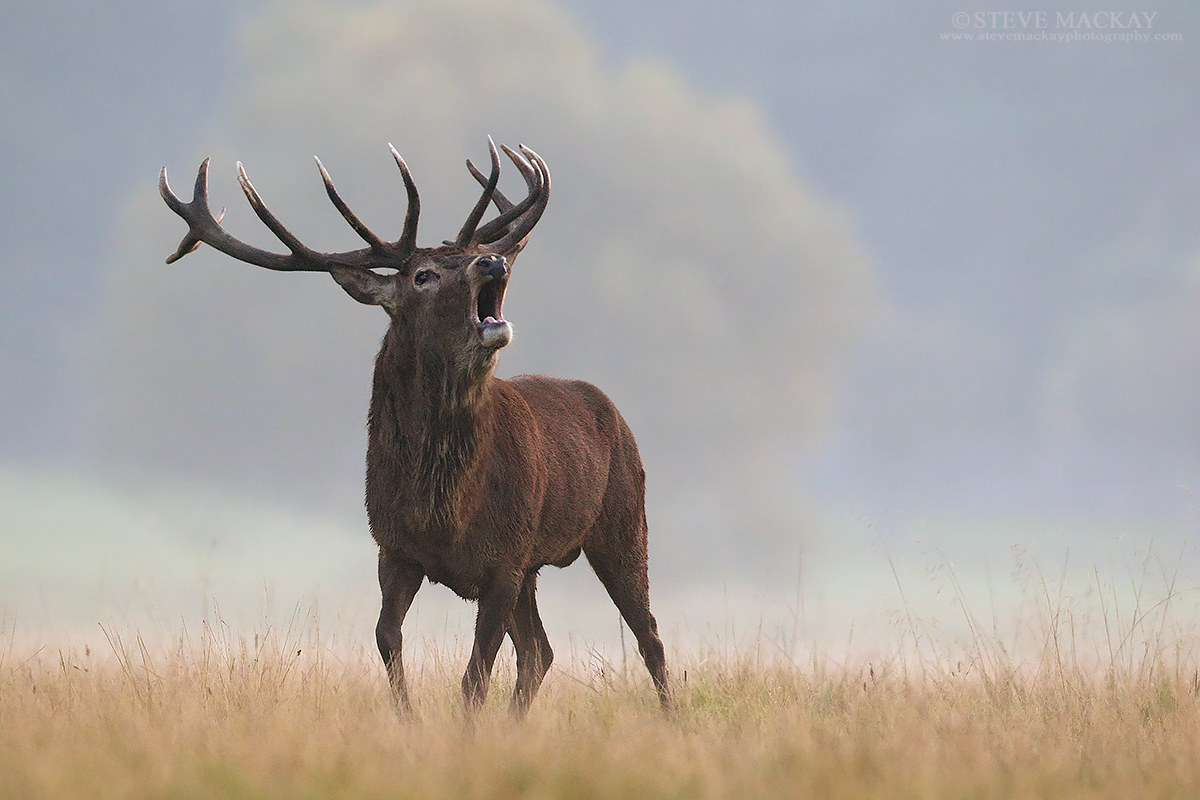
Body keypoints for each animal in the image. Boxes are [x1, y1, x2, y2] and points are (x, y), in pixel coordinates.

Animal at [159, 139, 670, 716]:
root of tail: (613, 411)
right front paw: (409, 720)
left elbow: (475, 673)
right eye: (423, 274)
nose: (493, 259)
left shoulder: (505, 559)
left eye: (474, 254)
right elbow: (387, 639)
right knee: (541, 651)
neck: (444, 510)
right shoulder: (395, 548)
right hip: (540, 567)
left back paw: (672, 718)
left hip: (622, 519)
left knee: (648, 635)